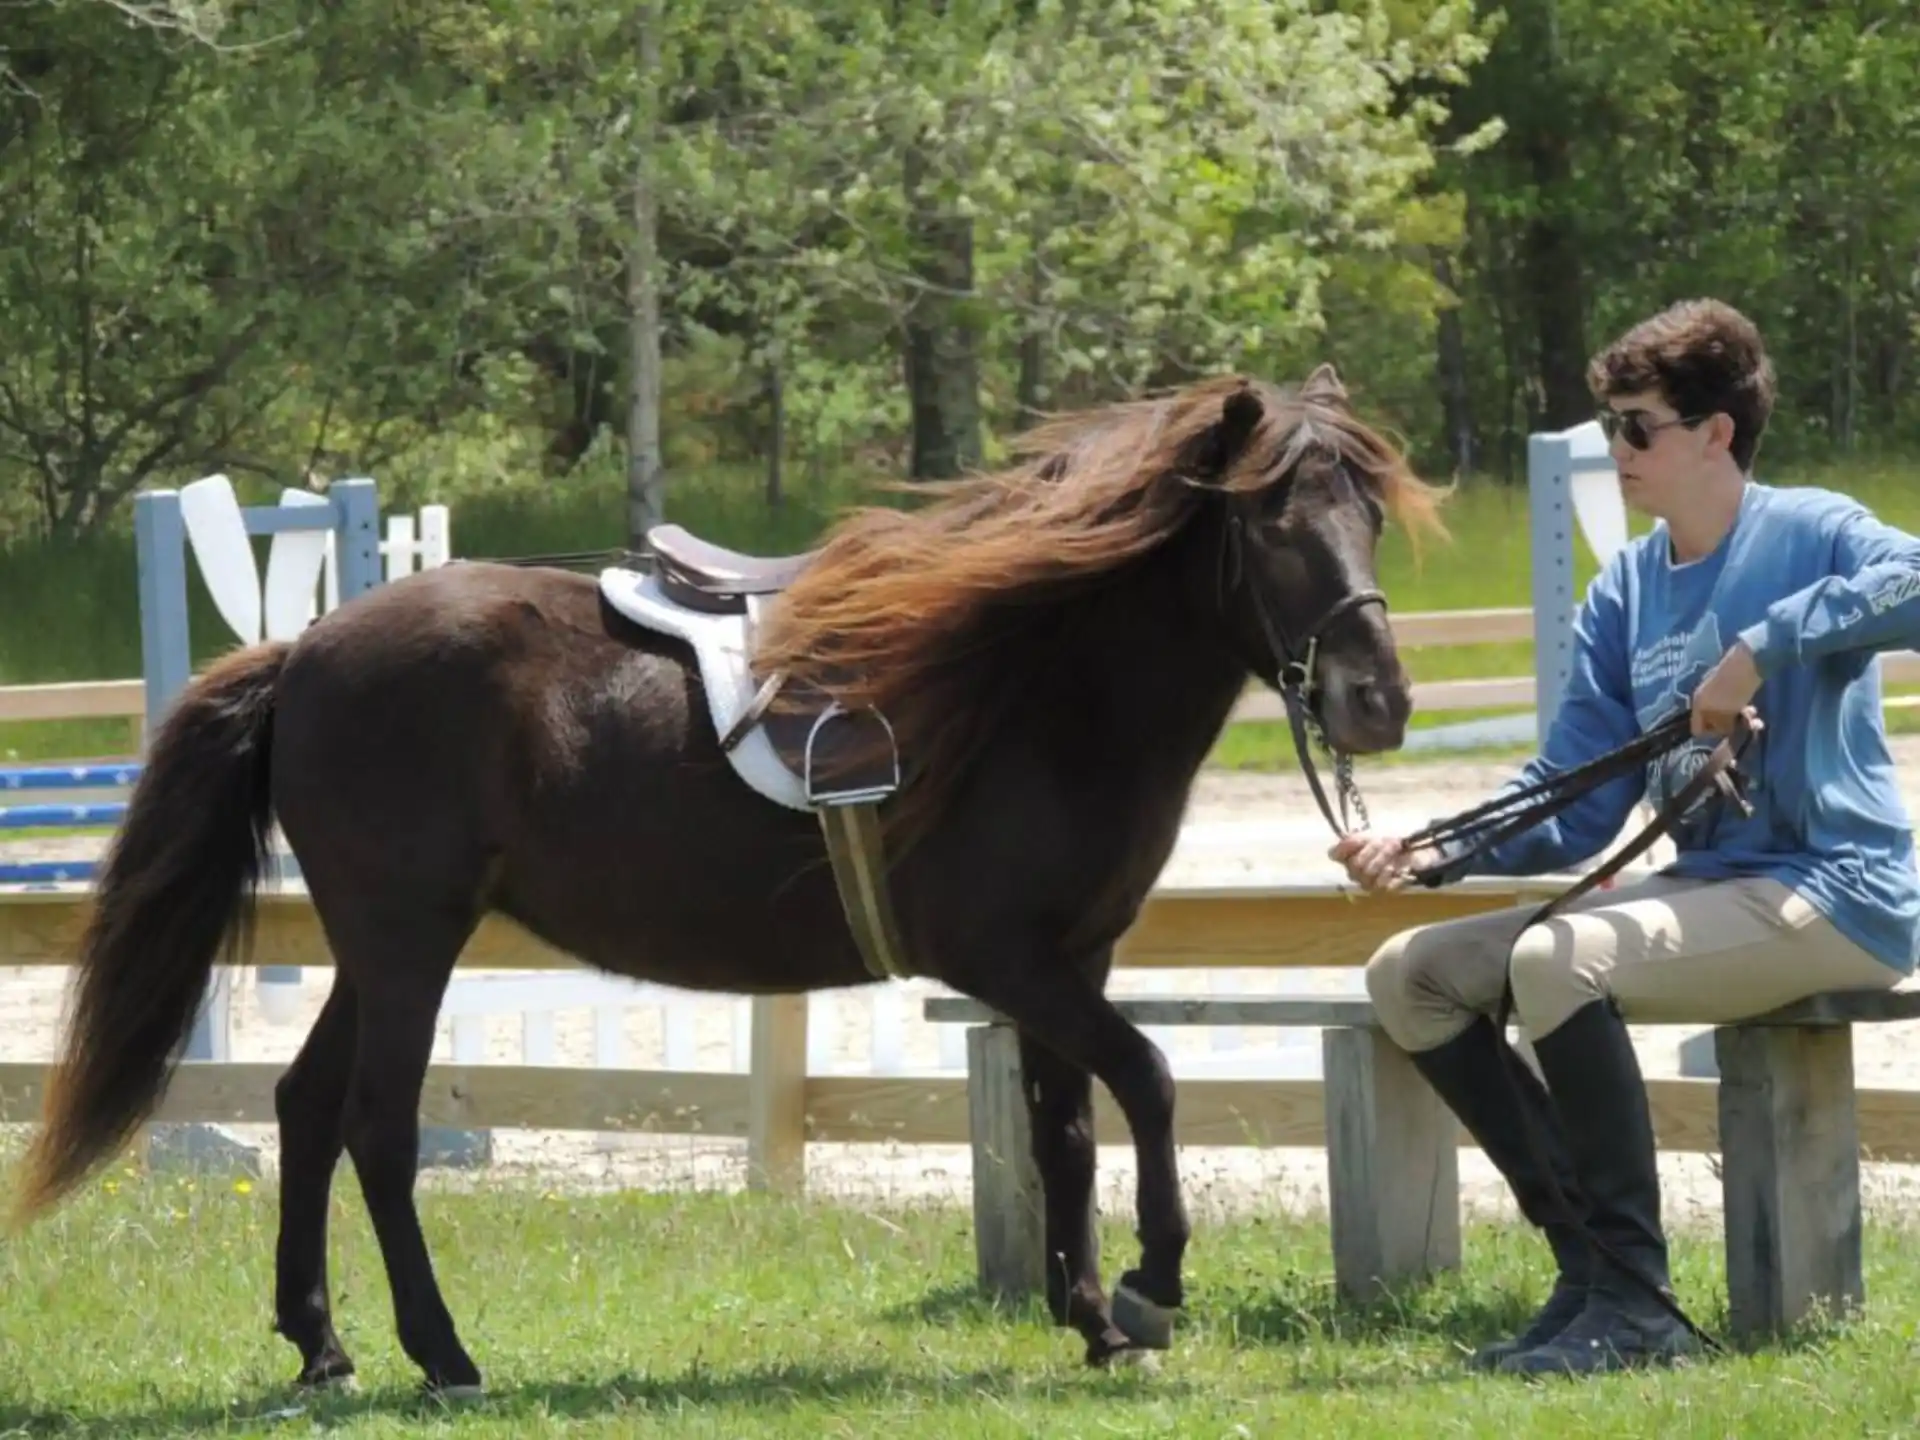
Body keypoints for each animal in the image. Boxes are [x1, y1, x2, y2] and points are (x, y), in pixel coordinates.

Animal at [6, 365, 1444, 1395]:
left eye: (1370, 513)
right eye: (1272, 521)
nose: (1377, 700)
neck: (1033, 683)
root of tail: (304, 648)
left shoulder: (1061, 968)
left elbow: (1068, 1131)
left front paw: (1092, 1316)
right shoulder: (1012, 963)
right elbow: (1147, 1081)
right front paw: (1152, 1283)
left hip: (377, 947)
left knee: (306, 1111)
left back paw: (323, 1346)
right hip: (410, 942)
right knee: (376, 1125)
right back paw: (443, 1353)